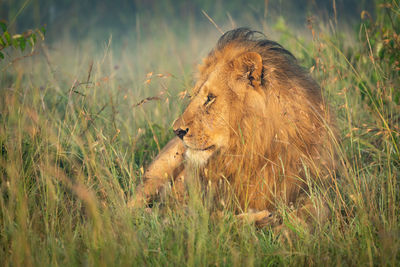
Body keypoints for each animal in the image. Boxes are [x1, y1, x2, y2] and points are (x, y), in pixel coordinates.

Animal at [132, 27, 338, 228]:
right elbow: (206, 217)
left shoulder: (317, 186)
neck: (254, 151)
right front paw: (264, 219)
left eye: (210, 98)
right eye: (196, 95)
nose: (177, 131)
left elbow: (316, 211)